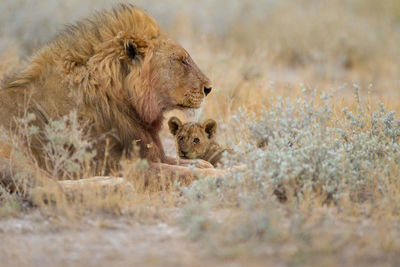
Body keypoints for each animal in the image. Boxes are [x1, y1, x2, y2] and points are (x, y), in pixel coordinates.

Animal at [0, 4, 219, 185]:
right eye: (181, 60)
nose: (209, 88)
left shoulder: (149, 153)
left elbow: (196, 164)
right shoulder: (113, 163)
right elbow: (181, 172)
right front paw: (223, 176)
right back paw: (112, 183)